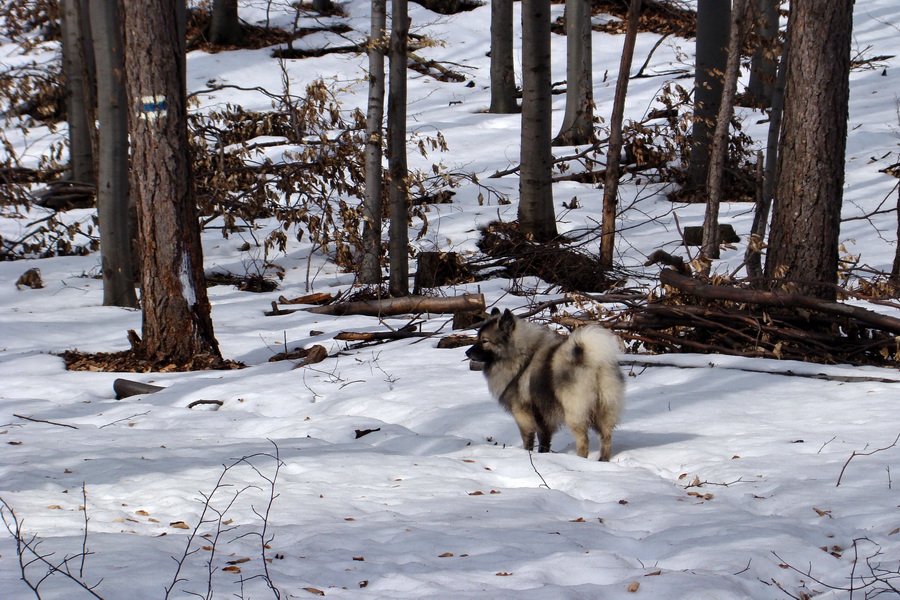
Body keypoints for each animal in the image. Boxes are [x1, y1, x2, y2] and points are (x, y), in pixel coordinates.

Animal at [468, 310, 624, 460]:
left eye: (484, 341)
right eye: (478, 338)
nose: (467, 352)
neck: (522, 356)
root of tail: (594, 361)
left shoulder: (522, 413)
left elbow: (528, 438)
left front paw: (527, 453)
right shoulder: (543, 417)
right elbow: (544, 439)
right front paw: (543, 454)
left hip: (575, 414)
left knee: (583, 441)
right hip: (603, 411)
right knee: (606, 437)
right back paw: (602, 460)